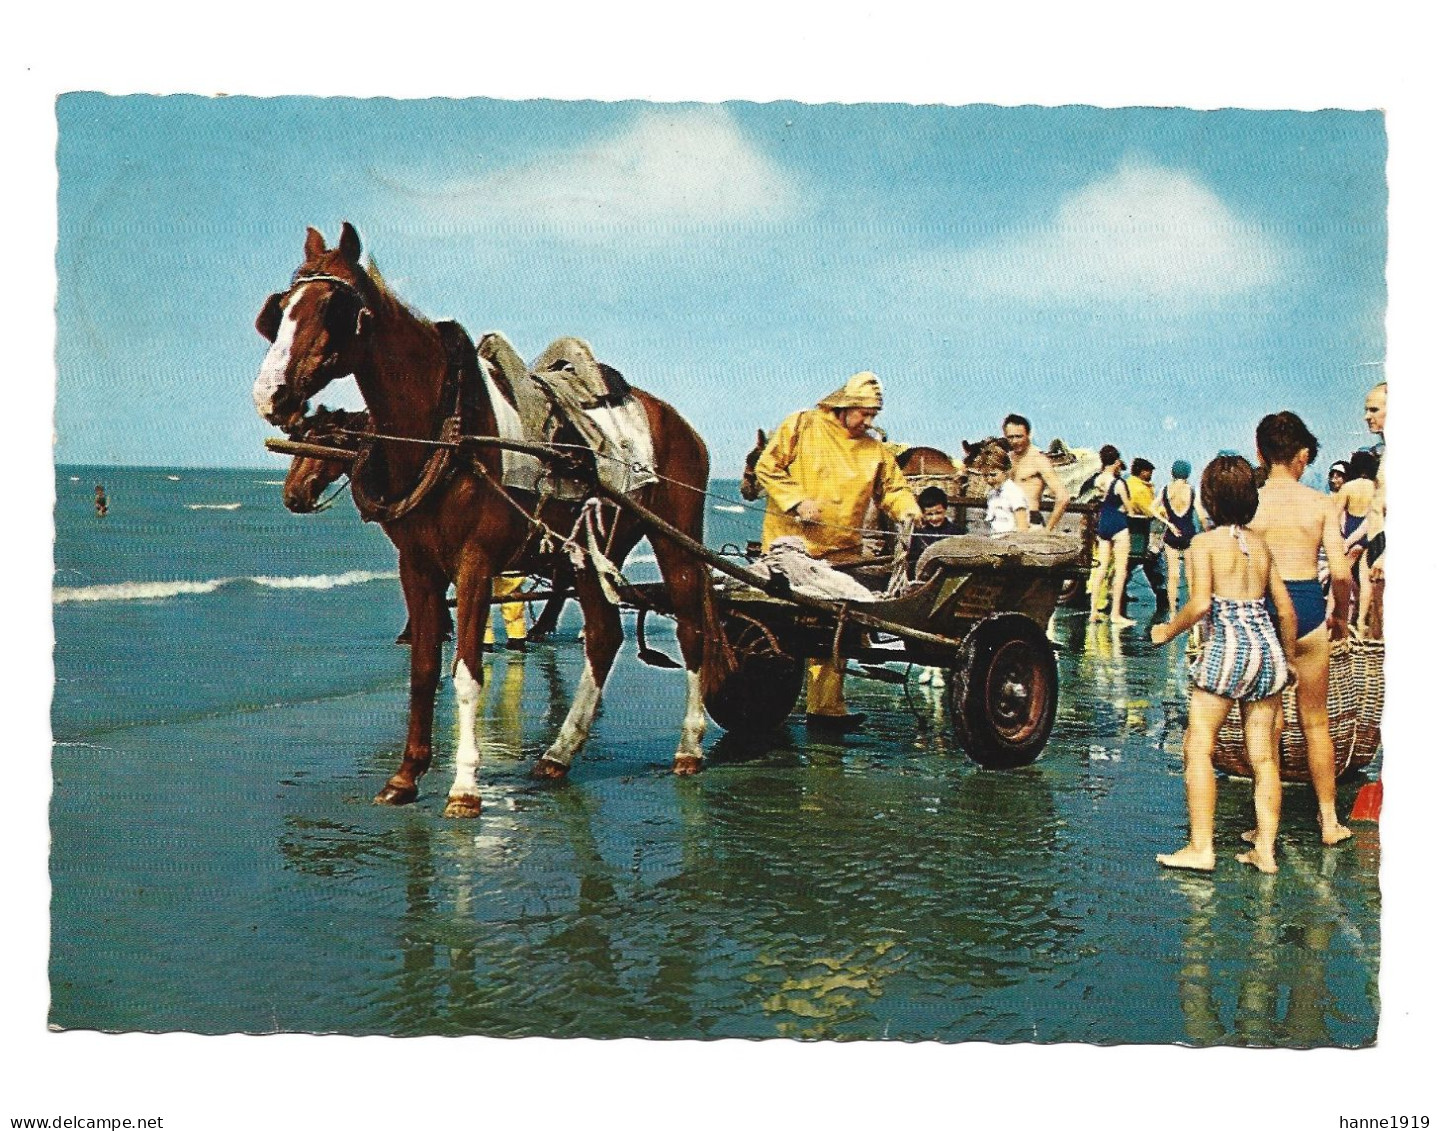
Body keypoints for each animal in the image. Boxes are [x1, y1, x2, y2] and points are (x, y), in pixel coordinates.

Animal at [257, 223, 713, 817]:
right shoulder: (417, 565)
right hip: (593, 550)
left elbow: (468, 673)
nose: (271, 394)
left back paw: (689, 745)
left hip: (674, 537)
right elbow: (425, 670)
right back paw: (559, 754)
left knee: (692, 627)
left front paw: (465, 786)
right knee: (604, 635)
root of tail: (678, 421)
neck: (449, 427)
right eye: (281, 309)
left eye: (331, 306)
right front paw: (406, 777)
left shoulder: (474, 562)